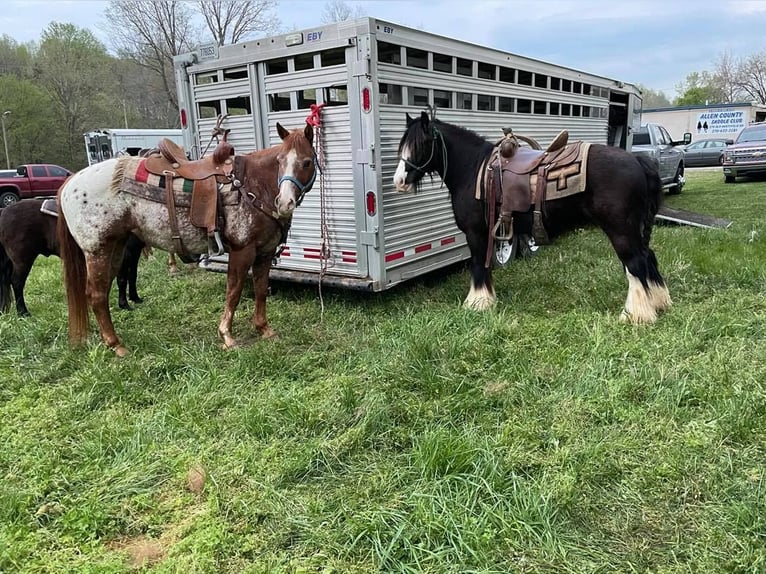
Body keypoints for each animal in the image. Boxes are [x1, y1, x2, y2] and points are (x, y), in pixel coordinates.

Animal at [1, 198, 147, 316]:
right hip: (23, 259)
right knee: (17, 282)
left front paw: (135, 298)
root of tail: (4, 212)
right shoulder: (125, 254)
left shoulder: (135, 253)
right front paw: (124, 305)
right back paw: (22, 312)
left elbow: (133, 276)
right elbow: (122, 279)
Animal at [56, 124, 316, 358]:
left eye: (306, 162)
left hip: (115, 247)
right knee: (97, 295)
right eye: (280, 161)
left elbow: (261, 290)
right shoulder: (242, 251)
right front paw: (226, 335)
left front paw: (264, 329)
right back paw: (116, 345)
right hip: (97, 250)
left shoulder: (265, 252)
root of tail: (70, 183)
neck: (253, 185)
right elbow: (234, 291)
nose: (284, 202)